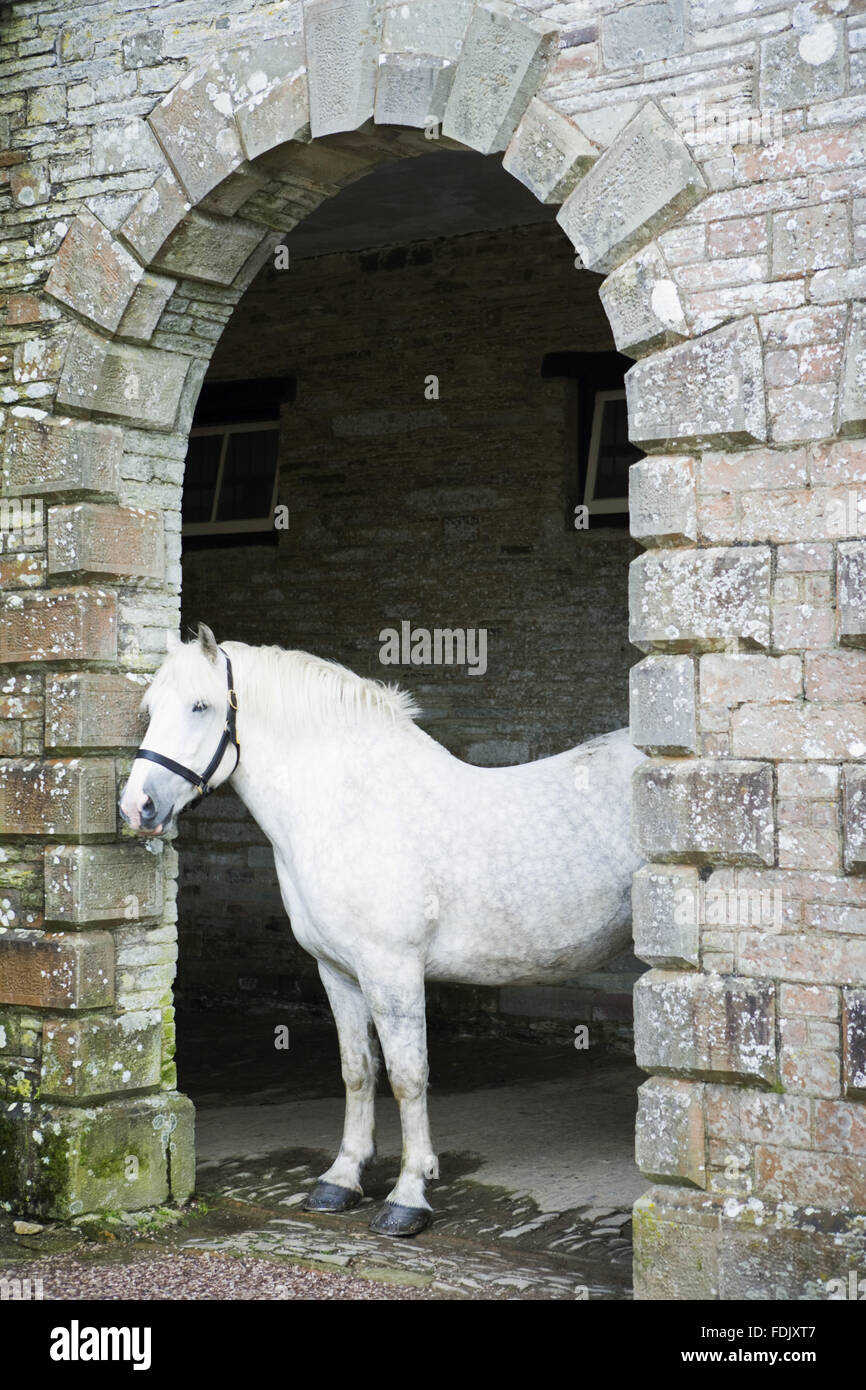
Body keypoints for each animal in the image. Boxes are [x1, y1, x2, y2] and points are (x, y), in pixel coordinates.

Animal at [119, 624, 646, 1237]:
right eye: (150, 709)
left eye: (200, 706)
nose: (137, 806)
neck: (351, 807)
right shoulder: (338, 971)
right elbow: (357, 1071)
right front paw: (342, 1179)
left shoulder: (392, 971)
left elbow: (406, 1076)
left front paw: (408, 1197)